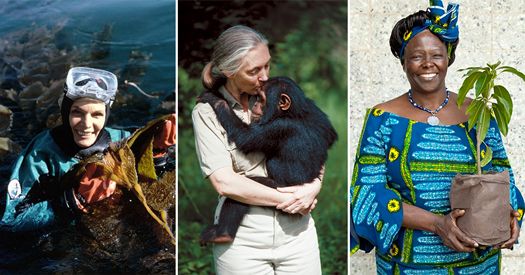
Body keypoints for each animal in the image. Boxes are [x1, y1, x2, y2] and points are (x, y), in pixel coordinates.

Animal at [196, 76, 336, 244]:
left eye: (261, 99)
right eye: (256, 97)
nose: (256, 105)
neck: (292, 113)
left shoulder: (277, 128)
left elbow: (245, 137)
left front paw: (215, 98)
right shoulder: (315, 111)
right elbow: (331, 135)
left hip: (278, 187)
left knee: (243, 191)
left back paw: (223, 233)